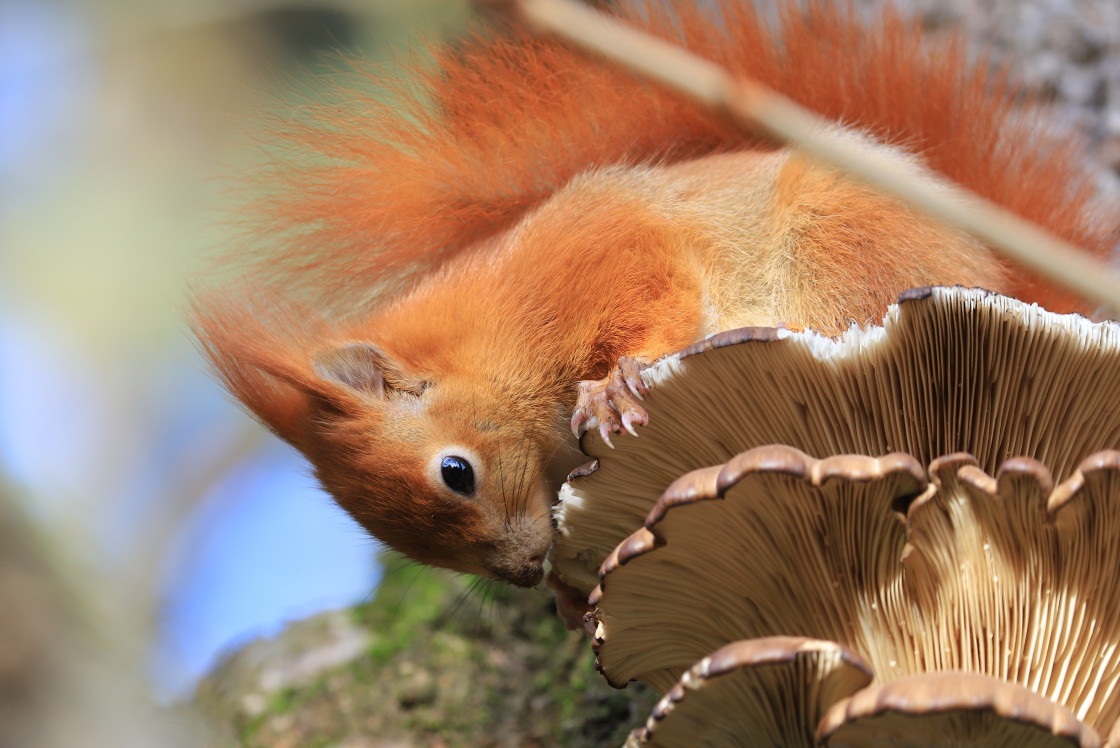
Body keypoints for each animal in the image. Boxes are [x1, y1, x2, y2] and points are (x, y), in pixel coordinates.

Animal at [190, 2, 1111, 591]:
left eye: (456, 473)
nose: (524, 577)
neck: (492, 340)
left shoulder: (604, 255)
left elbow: (655, 299)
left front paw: (615, 383)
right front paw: (569, 598)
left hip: (842, 245)